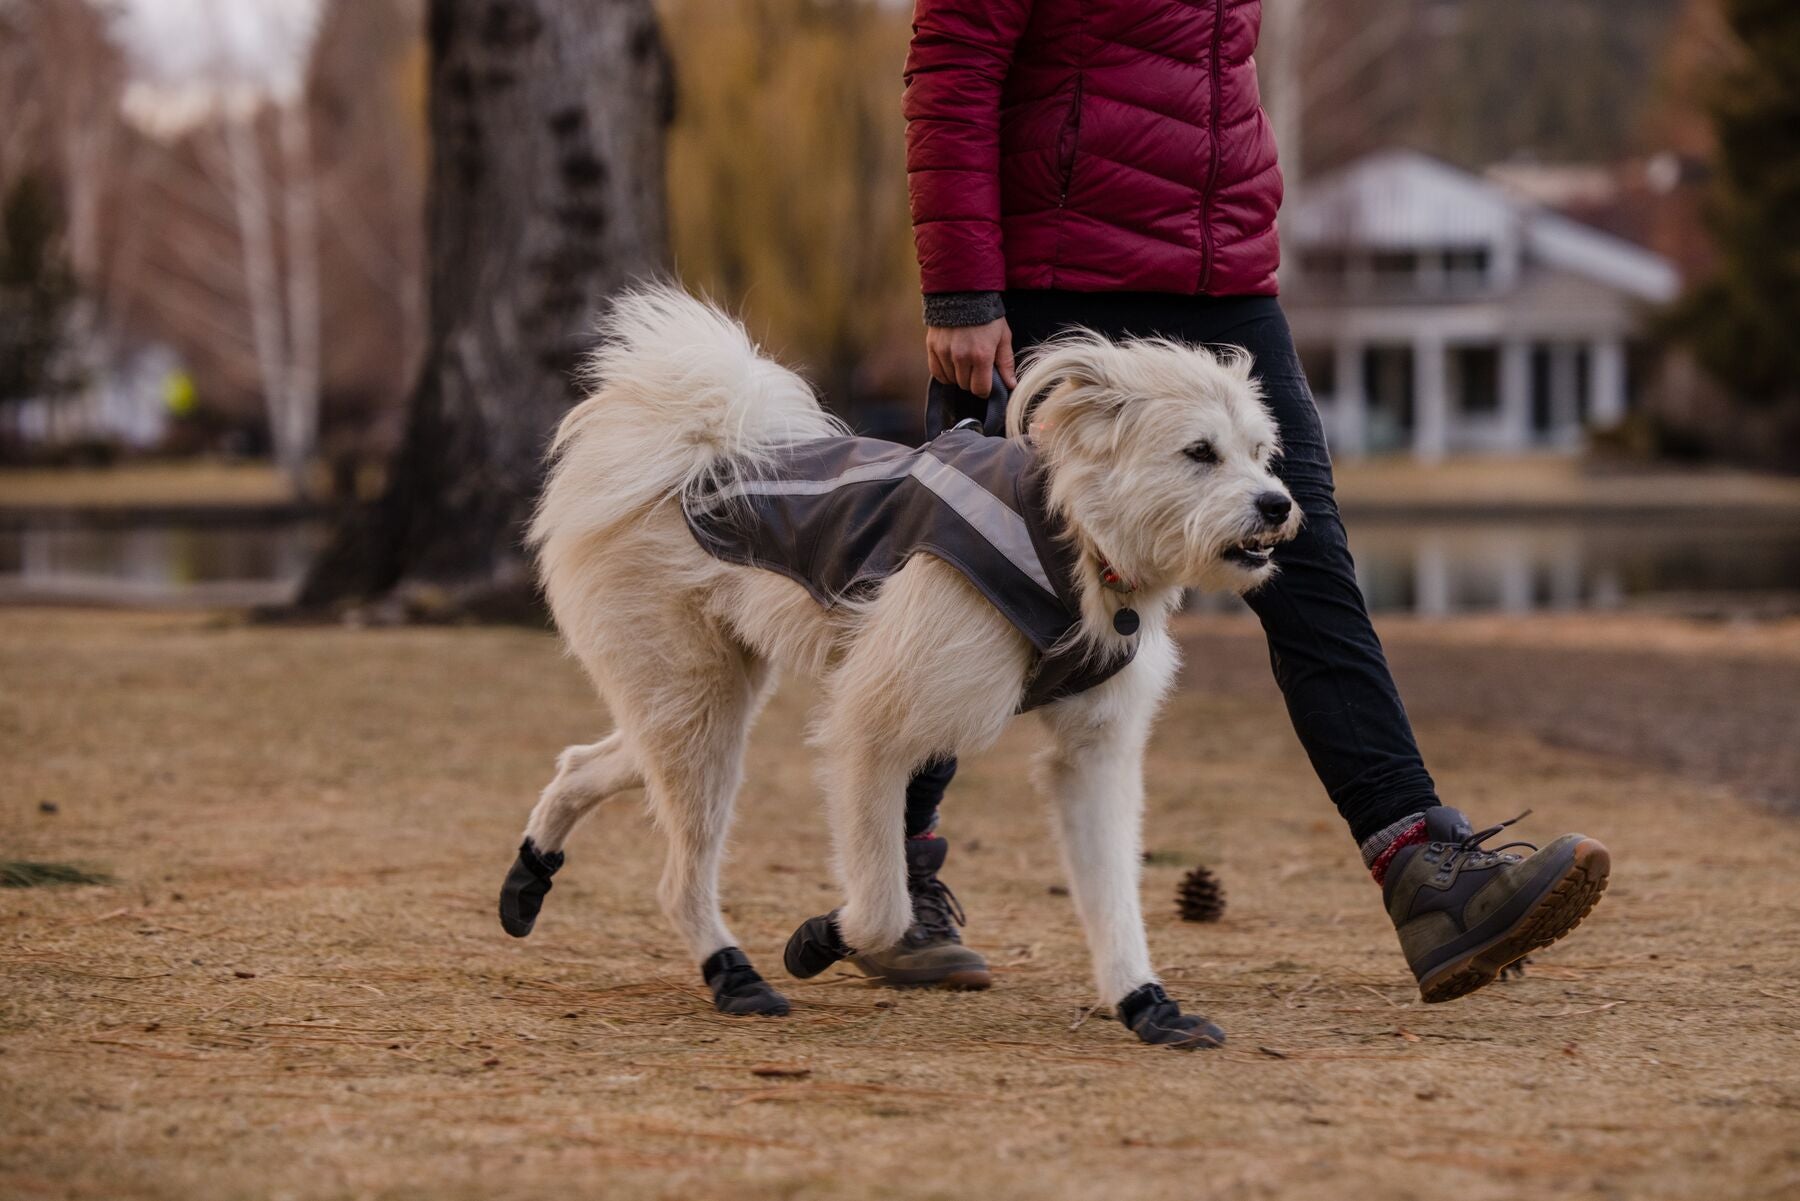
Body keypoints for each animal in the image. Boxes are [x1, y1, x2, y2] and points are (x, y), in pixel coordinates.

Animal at [500, 286, 1303, 1044]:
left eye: (1260, 450)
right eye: (1199, 452)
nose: (1279, 505)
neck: (1071, 531)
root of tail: (697, 450)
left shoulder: (1092, 757)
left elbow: (1114, 895)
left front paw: (1146, 1004)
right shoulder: (870, 734)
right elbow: (881, 905)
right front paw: (821, 938)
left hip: (695, 705)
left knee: (584, 763)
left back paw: (528, 878)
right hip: (697, 714)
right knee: (679, 877)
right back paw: (733, 974)